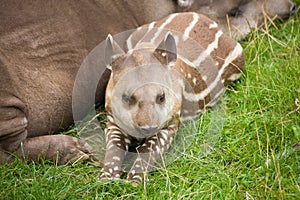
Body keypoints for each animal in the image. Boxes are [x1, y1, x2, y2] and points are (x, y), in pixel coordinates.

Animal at [99, 11, 245, 182]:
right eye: (125, 97)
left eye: (162, 97)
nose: (148, 128)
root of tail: (208, 20)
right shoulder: (113, 118)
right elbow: (114, 147)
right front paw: (105, 178)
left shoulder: (170, 122)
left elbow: (149, 149)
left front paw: (134, 181)